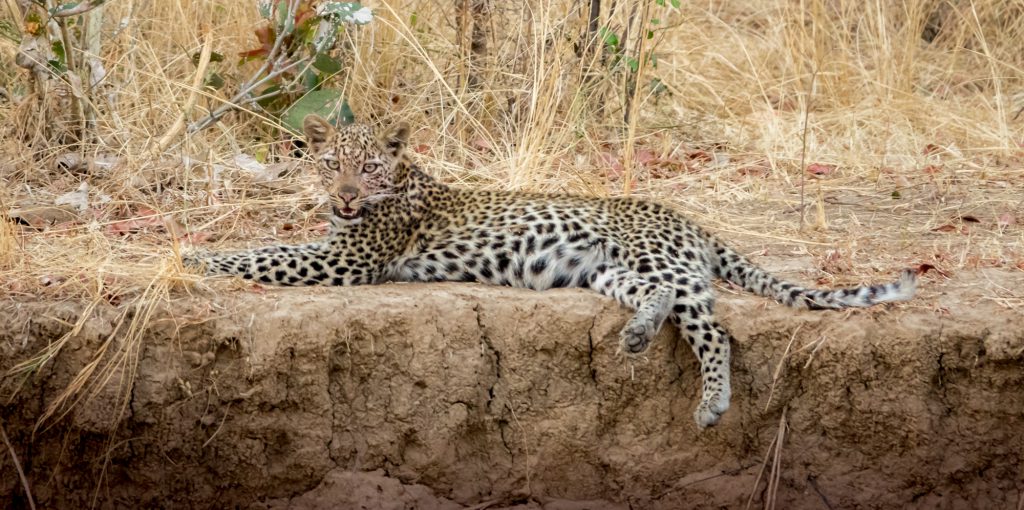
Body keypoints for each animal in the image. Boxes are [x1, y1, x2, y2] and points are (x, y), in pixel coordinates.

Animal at [186, 114, 921, 426]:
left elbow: (263, 253)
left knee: (711, 328)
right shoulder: (334, 246)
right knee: (657, 299)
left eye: (366, 167)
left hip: (659, 259)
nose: (342, 196)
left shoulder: (347, 260)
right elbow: (271, 245)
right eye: (329, 164)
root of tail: (688, 220)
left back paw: (712, 402)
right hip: (609, 271)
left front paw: (193, 256)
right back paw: (637, 335)